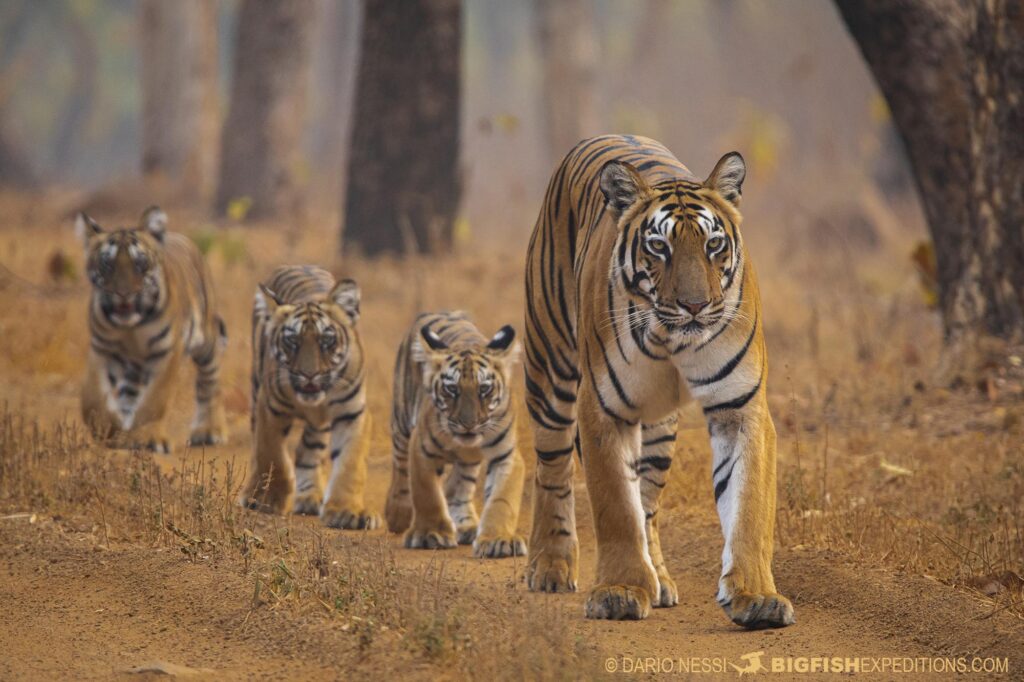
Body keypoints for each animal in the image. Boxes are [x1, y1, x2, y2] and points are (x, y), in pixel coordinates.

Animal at [77, 207, 227, 453]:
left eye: (140, 263)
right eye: (107, 264)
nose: (124, 293)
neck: (131, 326)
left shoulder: (166, 352)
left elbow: (156, 399)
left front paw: (148, 437)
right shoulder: (102, 348)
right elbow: (92, 397)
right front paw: (111, 429)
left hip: (205, 341)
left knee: (209, 382)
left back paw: (207, 431)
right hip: (134, 367)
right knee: (130, 394)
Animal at [242, 265, 379, 530]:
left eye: (326, 339)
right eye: (292, 340)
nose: (309, 374)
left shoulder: (352, 413)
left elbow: (350, 462)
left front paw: (347, 511)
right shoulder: (271, 408)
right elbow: (272, 454)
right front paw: (267, 499)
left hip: (319, 425)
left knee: (308, 451)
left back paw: (309, 496)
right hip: (255, 388)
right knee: (257, 446)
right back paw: (254, 492)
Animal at [384, 312, 526, 558]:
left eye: (484, 389)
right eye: (452, 389)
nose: (468, 424)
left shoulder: (506, 456)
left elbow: (502, 499)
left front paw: (498, 540)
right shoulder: (422, 448)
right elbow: (427, 492)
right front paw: (430, 534)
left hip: (469, 461)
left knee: (460, 485)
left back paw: (466, 525)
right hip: (401, 421)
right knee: (400, 466)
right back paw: (398, 513)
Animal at [523, 134, 794, 628]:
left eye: (713, 244)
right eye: (658, 246)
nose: (695, 305)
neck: (673, 340)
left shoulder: (741, 408)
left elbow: (749, 507)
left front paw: (756, 597)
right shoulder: (603, 408)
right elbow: (615, 505)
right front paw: (620, 591)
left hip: (660, 428)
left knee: (647, 501)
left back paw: (662, 580)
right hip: (550, 370)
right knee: (552, 469)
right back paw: (549, 566)